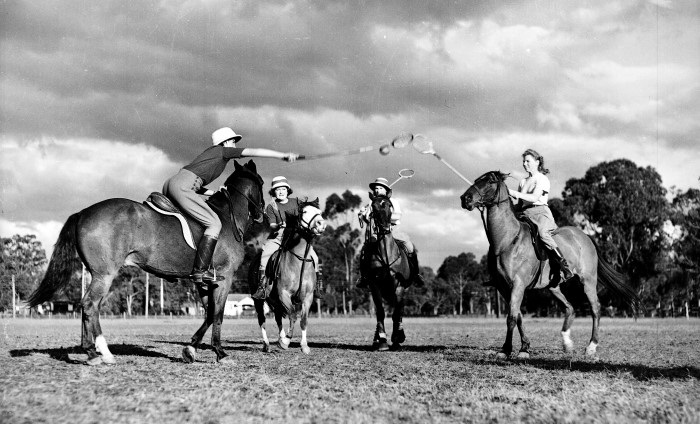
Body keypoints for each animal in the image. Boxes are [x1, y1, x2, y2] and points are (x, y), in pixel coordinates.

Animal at [27, 161, 266, 366]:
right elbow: (217, 314)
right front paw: (220, 353)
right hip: (104, 274)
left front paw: (190, 349)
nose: (262, 212)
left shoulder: (205, 281)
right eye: (261, 183)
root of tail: (83, 212)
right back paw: (101, 353)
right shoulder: (225, 278)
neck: (227, 218)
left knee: (87, 307)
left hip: (98, 274)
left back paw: (91, 351)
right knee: (90, 305)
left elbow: (208, 313)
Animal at [249, 199, 326, 354]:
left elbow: (303, 320)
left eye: (319, 212)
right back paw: (267, 344)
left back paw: (280, 338)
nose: (321, 224)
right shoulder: (284, 294)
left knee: (278, 317)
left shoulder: (308, 297)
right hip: (259, 301)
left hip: (274, 300)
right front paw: (286, 341)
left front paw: (304, 345)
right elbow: (293, 315)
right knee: (262, 320)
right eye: (305, 212)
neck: (300, 260)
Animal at [360, 195, 410, 352]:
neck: (386, 253)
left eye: (389, 205)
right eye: (374, 208)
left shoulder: (399, 285)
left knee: (400, 310)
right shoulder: (374, 285)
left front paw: (396, 338)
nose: (385, 228)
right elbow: (380, 312)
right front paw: (382, 340)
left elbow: (396, 313)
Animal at [462, 171, 644, 360]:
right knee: (570, 308)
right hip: (553, 287)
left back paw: (591, 346)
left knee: (595, 309)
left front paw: (507, 350)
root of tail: (585, 236)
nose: (465, 198)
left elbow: (511, 318)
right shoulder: (504, 288)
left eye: (490, 181)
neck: (506, 241)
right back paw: (567, 343)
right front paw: (524, 347)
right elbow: (518, 316)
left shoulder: (518, 285)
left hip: (588, 281)